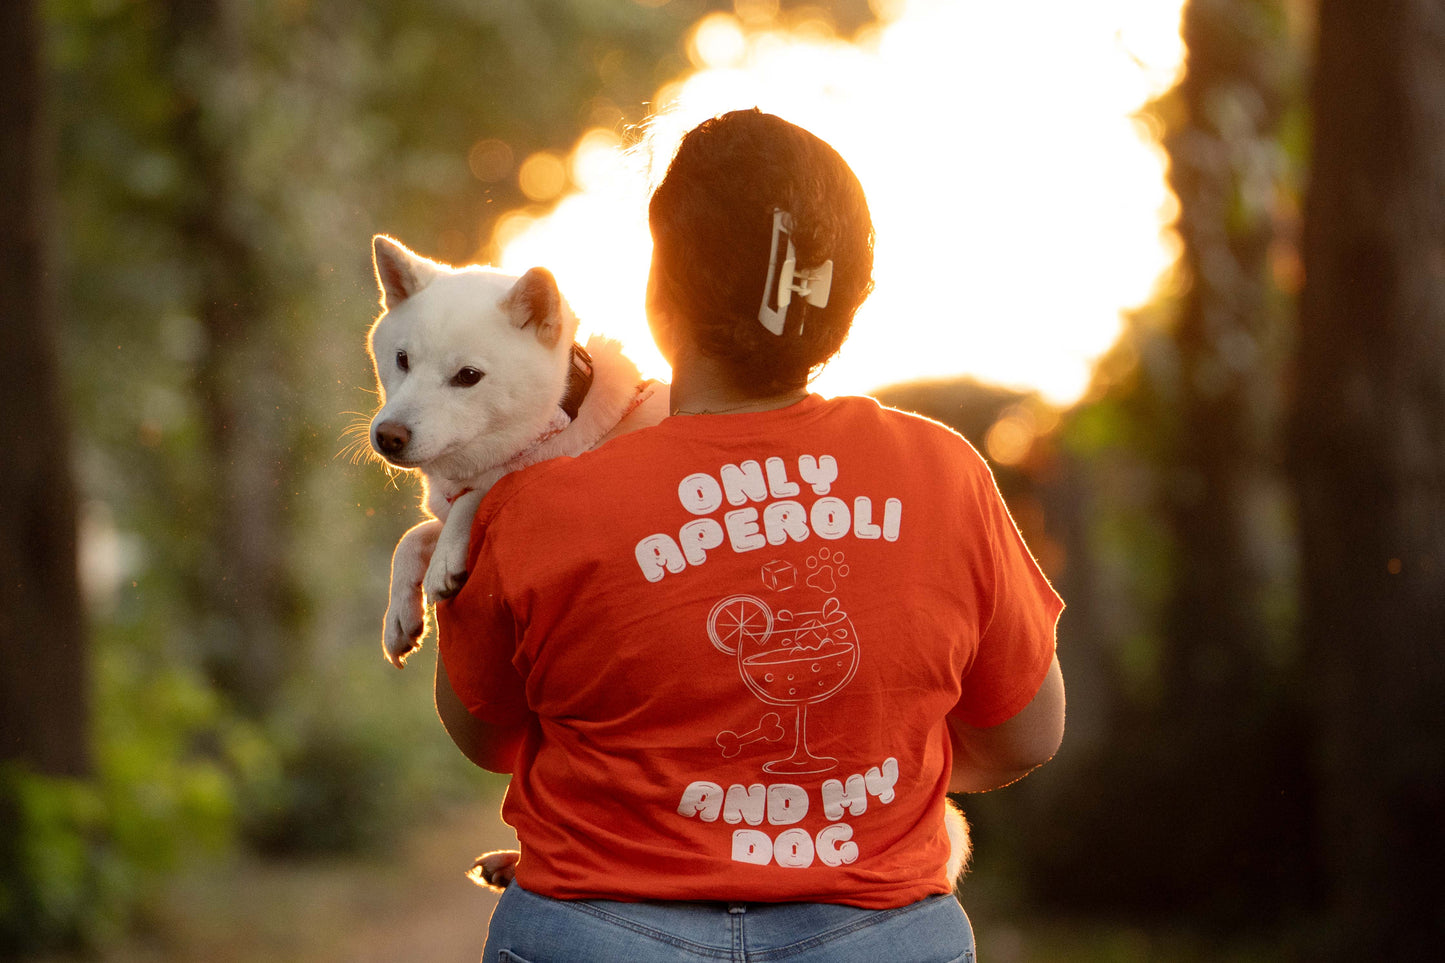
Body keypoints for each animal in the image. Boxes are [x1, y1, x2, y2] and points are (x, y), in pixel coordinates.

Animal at [367, 235, 670, 665]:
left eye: (468, 376)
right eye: (402, 359)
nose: (388, 436)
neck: (556, 428)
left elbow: (476, 496)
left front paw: (443, 559)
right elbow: (410, 538)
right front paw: (398, 616)